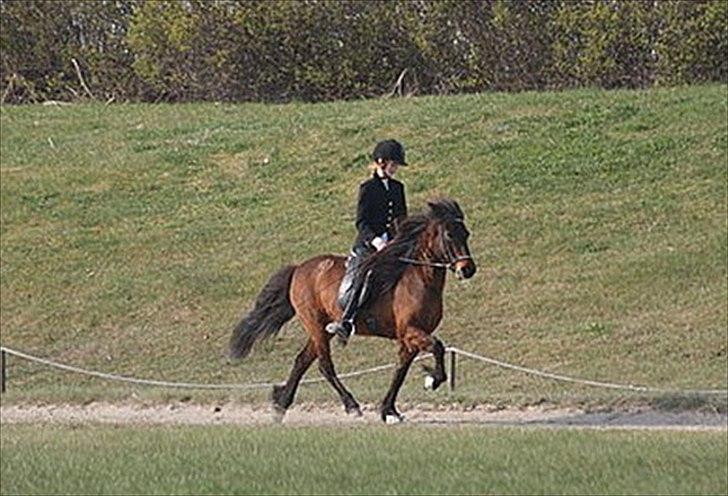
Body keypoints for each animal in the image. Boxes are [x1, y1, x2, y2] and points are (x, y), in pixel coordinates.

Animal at [229, 198, 478, 422]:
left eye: (466, 234)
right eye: (449, 235)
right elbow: (437, 346)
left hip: (322, 328)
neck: (419, 280)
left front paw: (389, 411)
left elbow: (400, 371)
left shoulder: (409, 338)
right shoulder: (410, 331)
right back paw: (351, 405)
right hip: (315, 324)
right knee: (324, 366)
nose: (468, 270)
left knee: (302, 361)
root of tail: (299, 268)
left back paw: (281, 405)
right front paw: (432, 380)